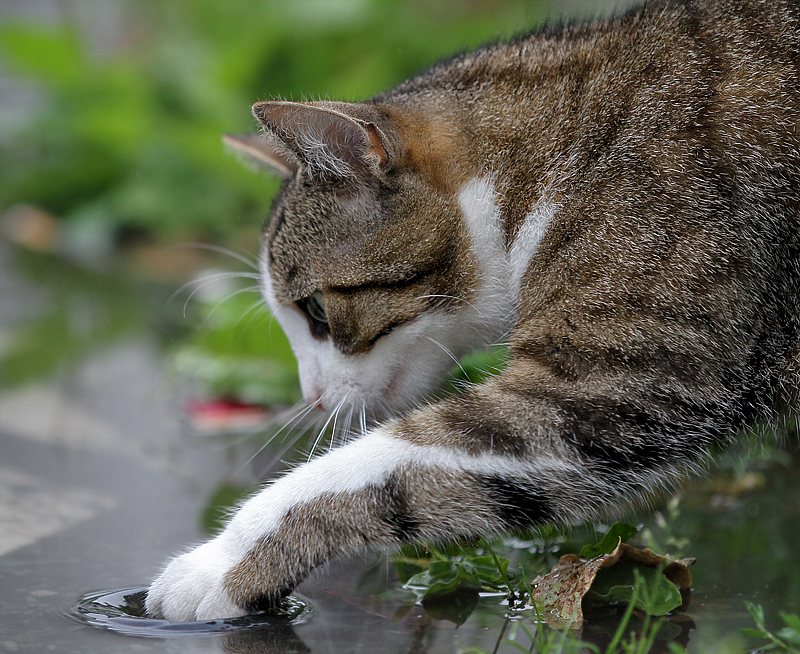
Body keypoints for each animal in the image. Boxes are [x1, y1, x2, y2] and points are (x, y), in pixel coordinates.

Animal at [147, 0, 796, 624]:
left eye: (318, 314)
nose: (311, 396)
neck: (565, 161)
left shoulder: (624, 375)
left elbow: (365, 471)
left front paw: (220, 566)